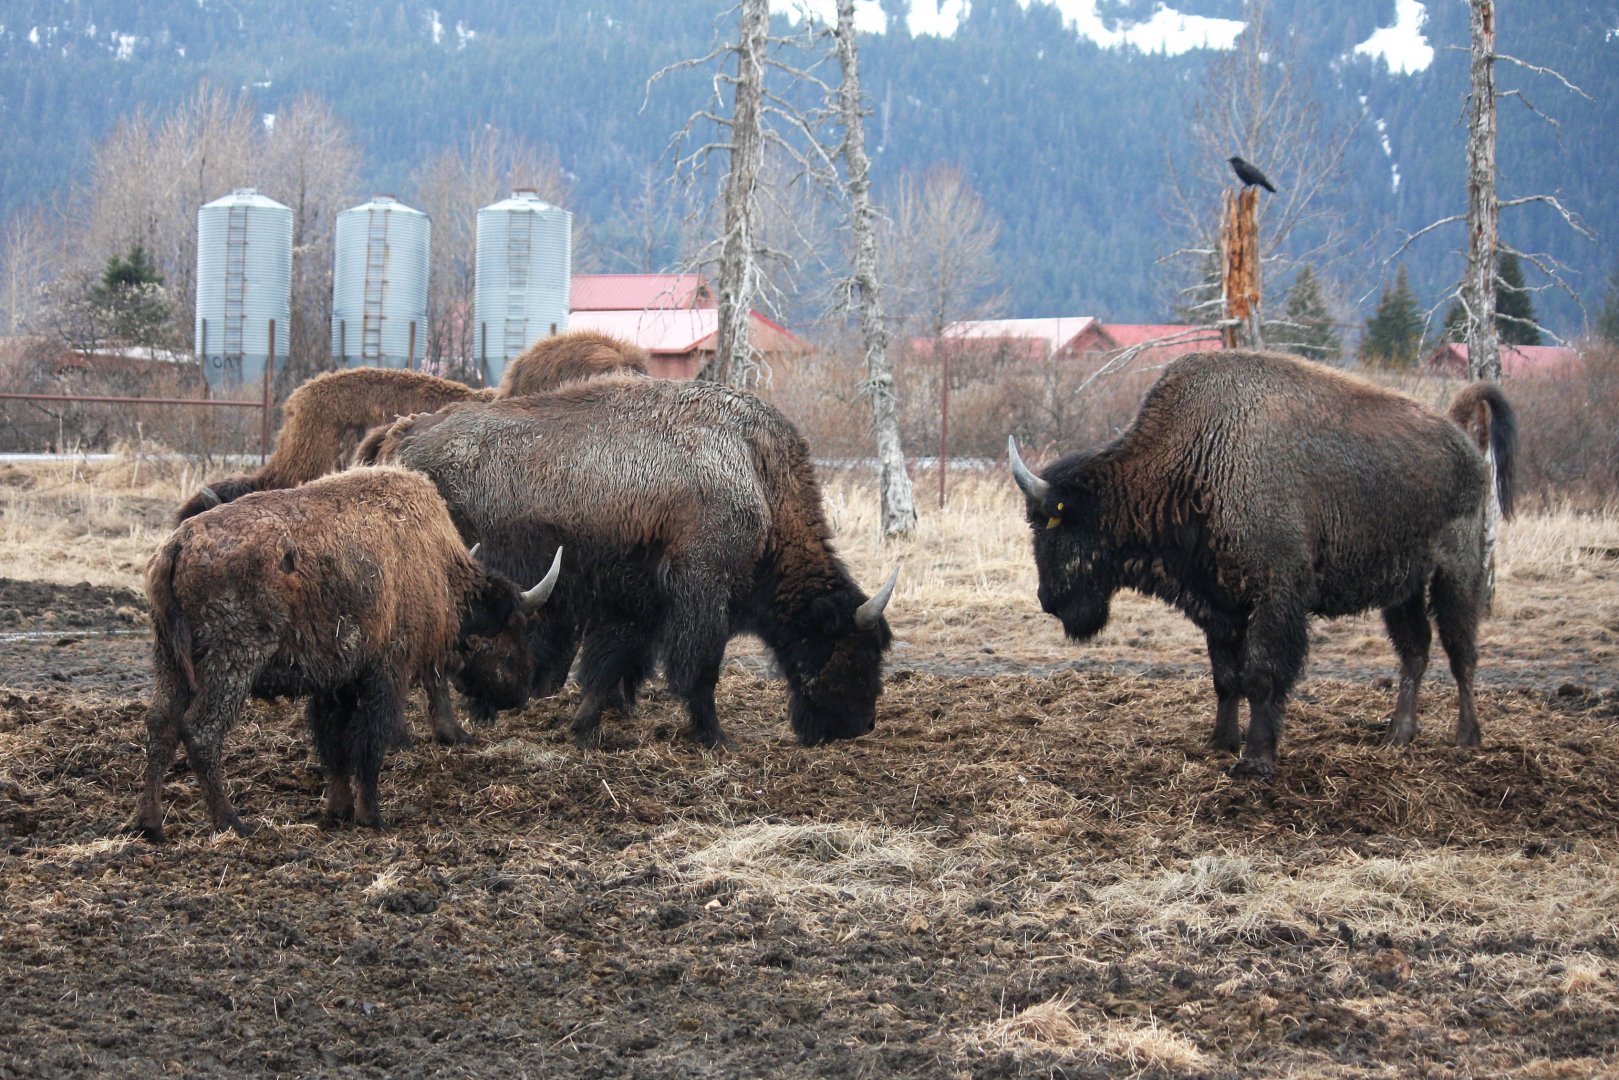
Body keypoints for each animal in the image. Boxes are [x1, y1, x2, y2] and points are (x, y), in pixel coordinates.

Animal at [136, 466, 560, 840]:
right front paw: (371, 816)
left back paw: (151, 825)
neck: (439, 571)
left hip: (171, 661)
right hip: (233, 663)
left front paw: (338, 809)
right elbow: (368, 745)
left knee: (161, 724)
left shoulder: (334, 684)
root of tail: (179, 545)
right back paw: (232, 823)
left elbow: (335, 746)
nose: (522, 692)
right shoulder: (386, 675)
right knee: (201, 731)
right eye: (514, 626)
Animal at [363, 375, 897, 749]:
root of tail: (401, 437)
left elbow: (610, 666)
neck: (754, 472)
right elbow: (699, 667)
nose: (860, 724)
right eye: (854, 651)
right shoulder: (701, 591)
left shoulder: (637, 600)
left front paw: (582, 728)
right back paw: (444, 731)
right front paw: (717, 737)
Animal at [1009, 349, 1516, 777]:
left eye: (1051, 524)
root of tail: (1462, 438)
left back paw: (1467, 738)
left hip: (1457, 572)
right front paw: (1220, 741)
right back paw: (1398, 735)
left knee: (1461, 651)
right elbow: (1225, 677)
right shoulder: (1218, 604)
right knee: (1415, 650)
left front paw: (1255, 759)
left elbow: (1260, 675)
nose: (1047, 599)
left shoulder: (1274, 597)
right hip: (1402, 588)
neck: (1191, 461)